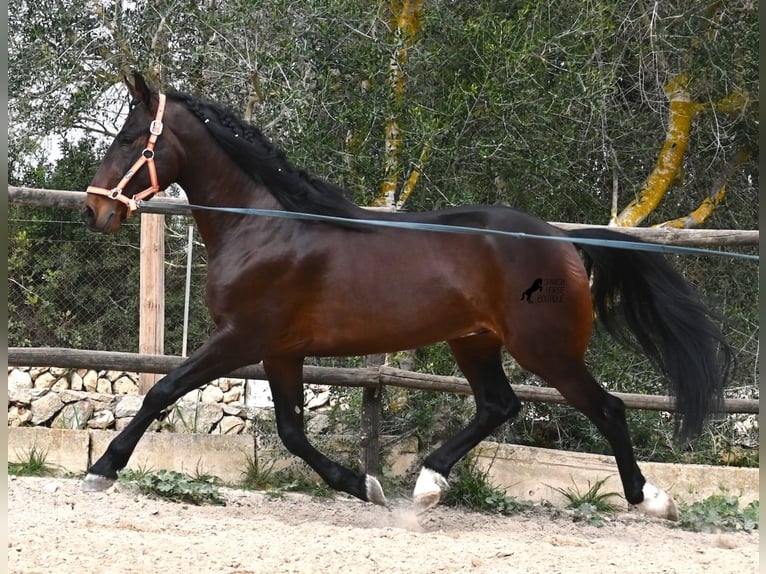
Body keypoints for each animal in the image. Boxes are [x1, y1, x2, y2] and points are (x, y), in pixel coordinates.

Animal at [79, 72, 732, 520]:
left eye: (132, 137)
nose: (93, 210)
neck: (265, 226)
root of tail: (561, 239)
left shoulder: (241, 338)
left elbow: (162, 390)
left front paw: (102, 470)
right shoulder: (281, 350)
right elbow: (291, 430)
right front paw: (362, 485)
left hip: (546, 350)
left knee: (608, 409)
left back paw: (651, 500)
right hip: (475, 342)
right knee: (499, 405)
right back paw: (428, 482)